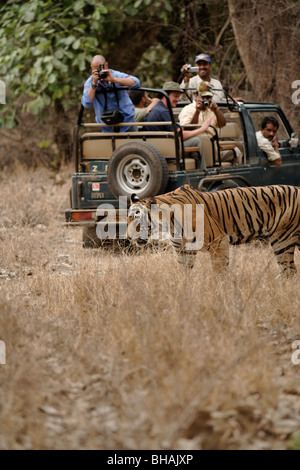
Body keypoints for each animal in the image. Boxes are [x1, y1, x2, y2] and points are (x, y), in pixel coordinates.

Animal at [127, 183, 300, 276]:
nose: (128, 238)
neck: (168, 224)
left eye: (136, 218)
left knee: (289, 271)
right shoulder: (184, 252)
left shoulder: (219, 242)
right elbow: (184, 275)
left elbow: (219, 272)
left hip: (282, 240)